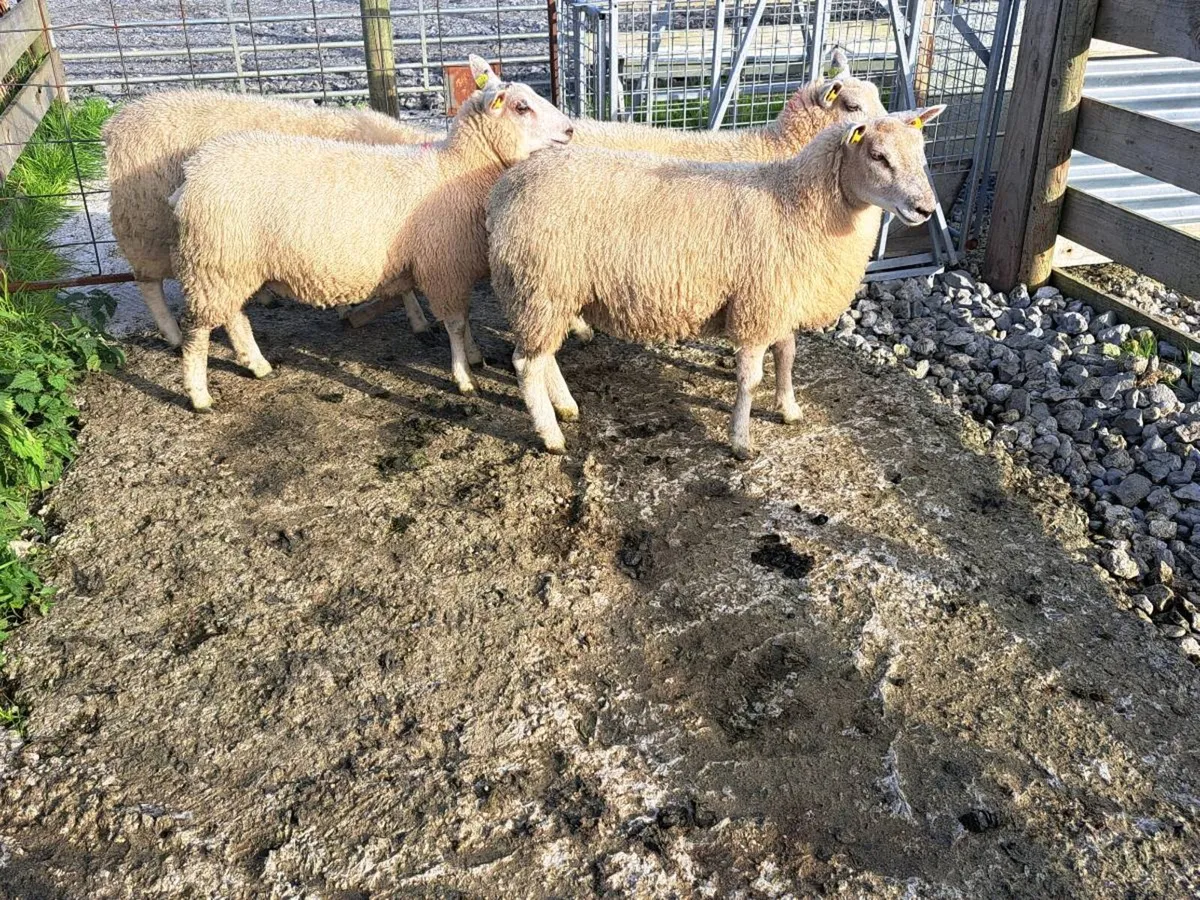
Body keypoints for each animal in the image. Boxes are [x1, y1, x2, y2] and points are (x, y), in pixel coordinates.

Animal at [105, 89, 440, 347]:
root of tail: (118, 121)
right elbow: (405, 286)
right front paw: (419, 321)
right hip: (145, 224)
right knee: (150, 285)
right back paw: (173, 335)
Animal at [170, 57, 573, 412]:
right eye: (522, 107)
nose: (570, 130)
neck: (456, 169)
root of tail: (192, 175)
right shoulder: (442, 266)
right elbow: (456, 325)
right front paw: (464, 378)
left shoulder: (453, 268)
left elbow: (465, 318)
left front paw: (475, 357)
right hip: (213, 262)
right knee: (196, 330)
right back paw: (199, 396)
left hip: (228, 265)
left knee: (233, 316)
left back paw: (256, 365)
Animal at [488, 106, 946, 459]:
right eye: (878, 155)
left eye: (921, 152)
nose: (926, 209)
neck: (795, 202)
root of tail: (506, 188)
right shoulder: (758, 305)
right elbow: (751, 380)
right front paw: (741, 441)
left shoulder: (780, 299)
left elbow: (787, 355)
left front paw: (789, 408)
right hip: (540, 286)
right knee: (527, 365)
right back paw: (552, 436)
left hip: (548, 294)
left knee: (544, 357)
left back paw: (567, 408)